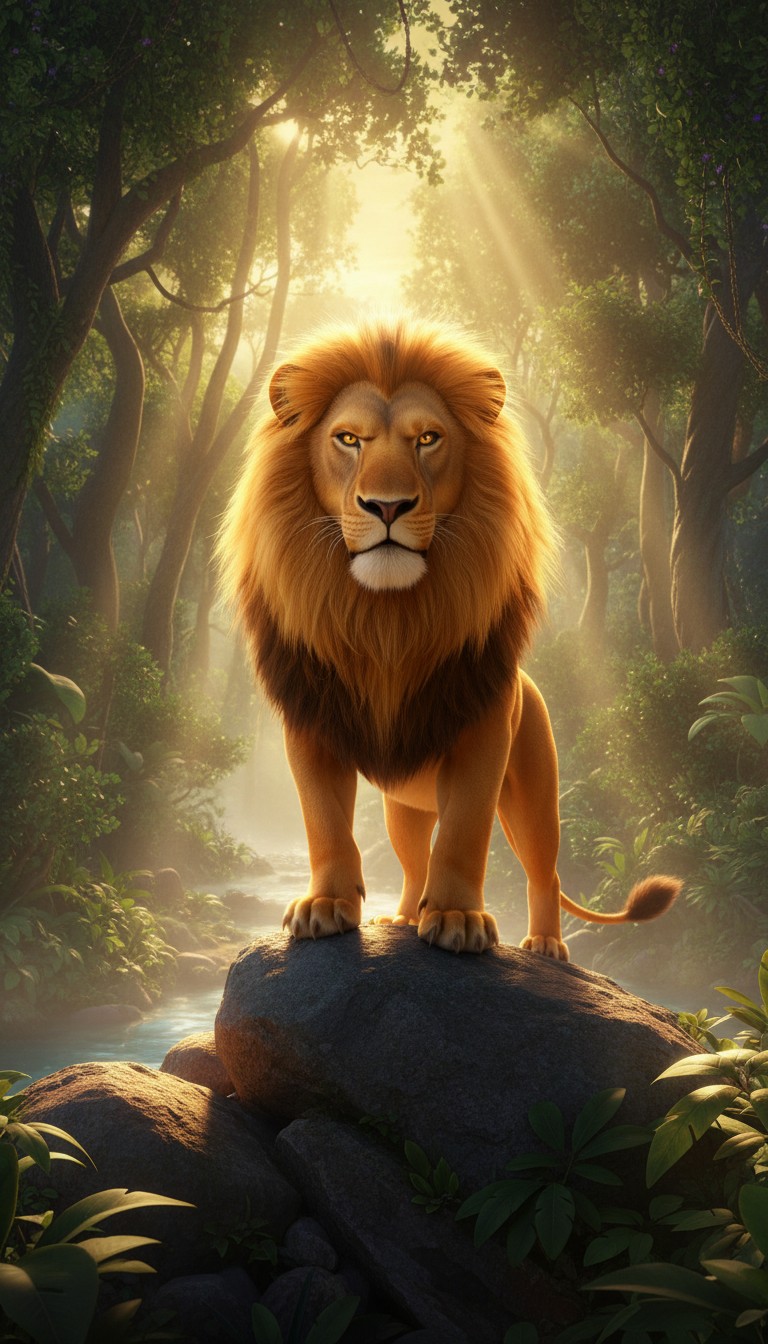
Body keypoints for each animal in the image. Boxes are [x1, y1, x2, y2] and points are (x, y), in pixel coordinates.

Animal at [218, 318, 680, 959]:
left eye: (428, 439)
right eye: (348, 439)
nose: (388, 505)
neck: (388, 622)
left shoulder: (483, 731)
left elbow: (463, 832)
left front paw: (459, 917)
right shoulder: (311, 722)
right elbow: (324, 821)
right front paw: (326, 906)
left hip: (534, 790)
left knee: (544, 870)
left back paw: (545, 945)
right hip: (402, 810)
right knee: (413, 861)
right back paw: (401, 919)